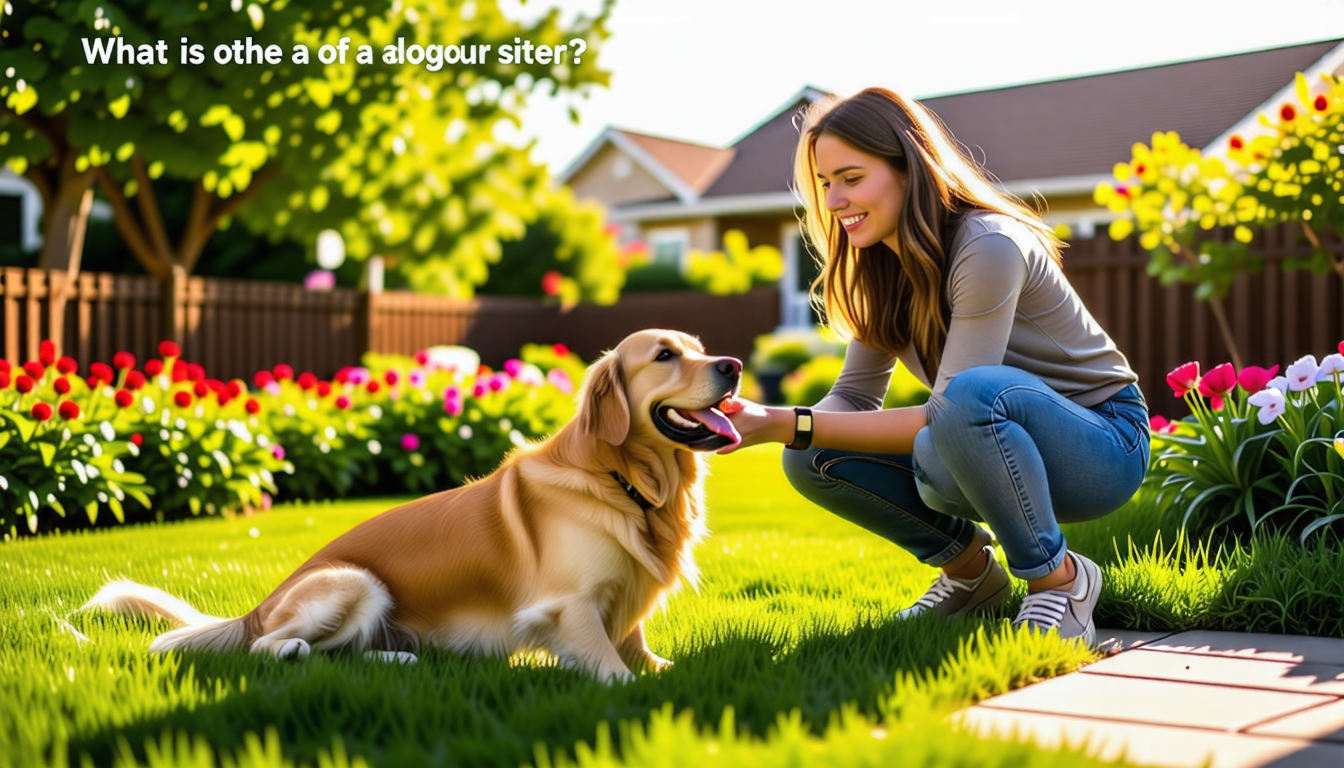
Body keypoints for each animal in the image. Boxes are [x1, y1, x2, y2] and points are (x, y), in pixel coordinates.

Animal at [84, 330, 747, 685]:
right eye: (663, 356)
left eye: (698, 348)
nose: (735, 364)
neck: (625, 480)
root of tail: (258, 607)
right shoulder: (568, 606)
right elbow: (614, 670)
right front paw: (632, 687)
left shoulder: (626, 603)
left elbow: (644, 651)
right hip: (352, 581)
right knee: (270, 650)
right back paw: (297, 649)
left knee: (347, 653)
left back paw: (403, 655)